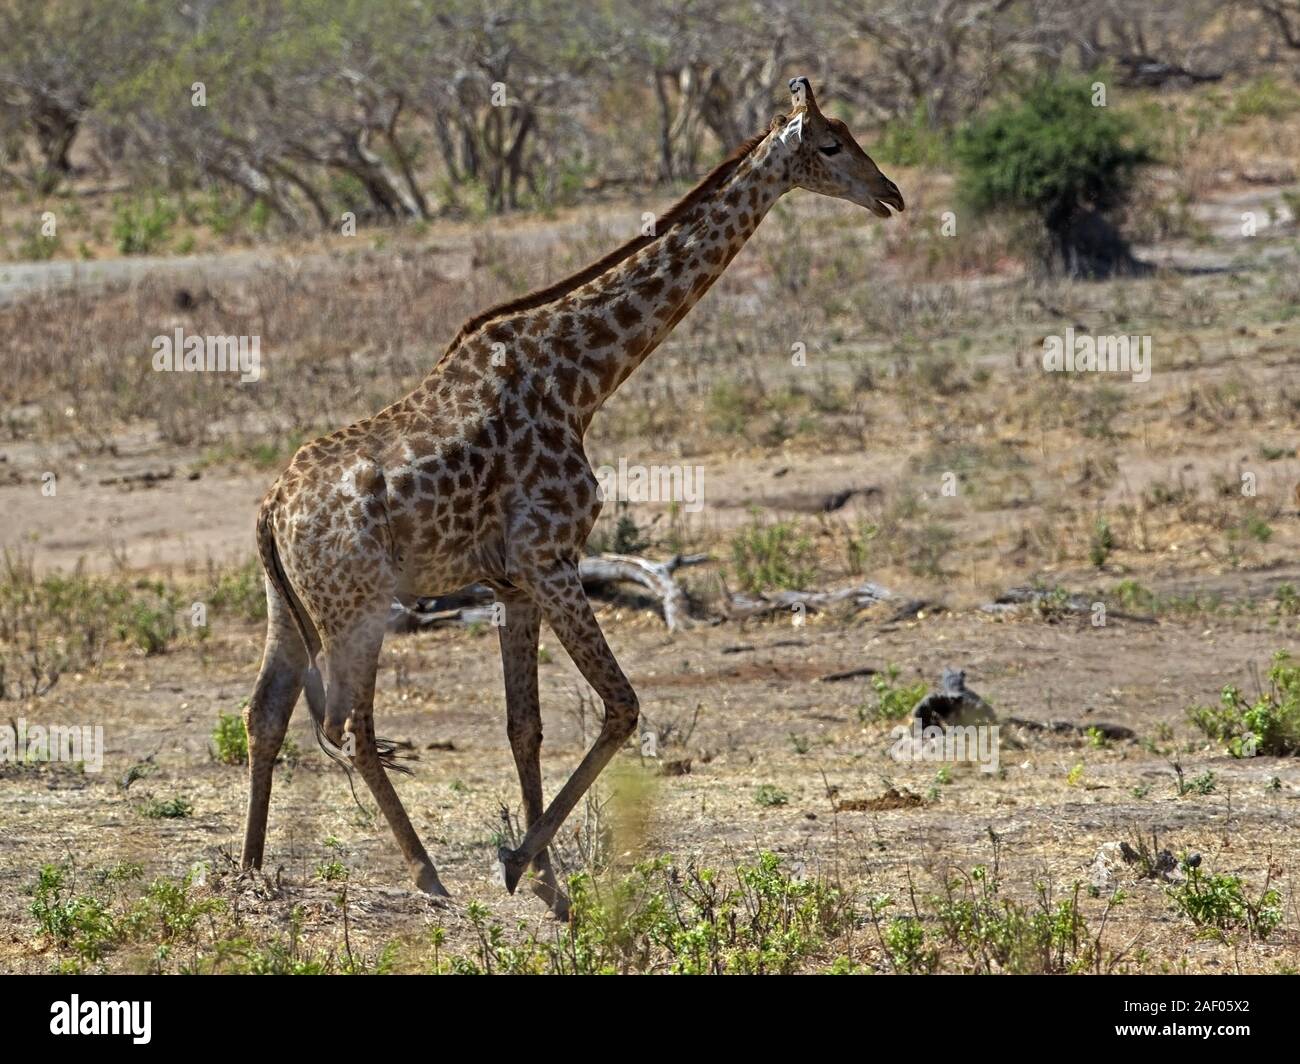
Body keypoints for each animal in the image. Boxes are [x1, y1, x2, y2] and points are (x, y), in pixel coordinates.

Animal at [236, 78, 904, 915]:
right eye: (832, 144)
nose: (891, 195)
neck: (580, 378)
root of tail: (270, 509)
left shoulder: (512, 583)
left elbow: (525, 726)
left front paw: (549, 884)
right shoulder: (551, 560)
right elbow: (621, 706)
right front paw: (517, 863)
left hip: (288, 604)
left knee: (266, 713)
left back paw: (251, 873)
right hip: (357, 610)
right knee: (348, 726)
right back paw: (426, 875)